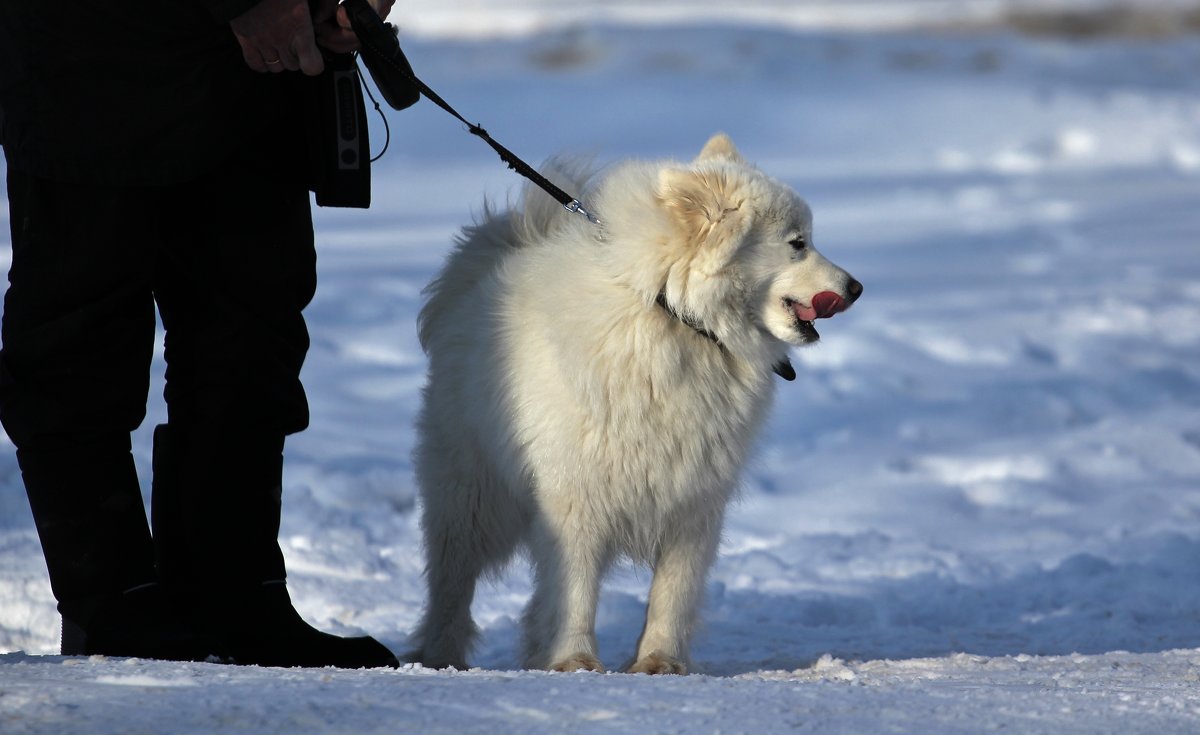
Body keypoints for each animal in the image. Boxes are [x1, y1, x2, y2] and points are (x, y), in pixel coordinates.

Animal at [412, 132, 864, 672]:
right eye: (798, 243)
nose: (857, 288)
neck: (672, 317)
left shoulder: (694, 499)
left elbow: (673, 591)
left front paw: (659, 662)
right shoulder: (576, 495)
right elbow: (575, 588)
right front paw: (575, 661)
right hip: (472, 495)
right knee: (452, 582)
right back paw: (441, 655)